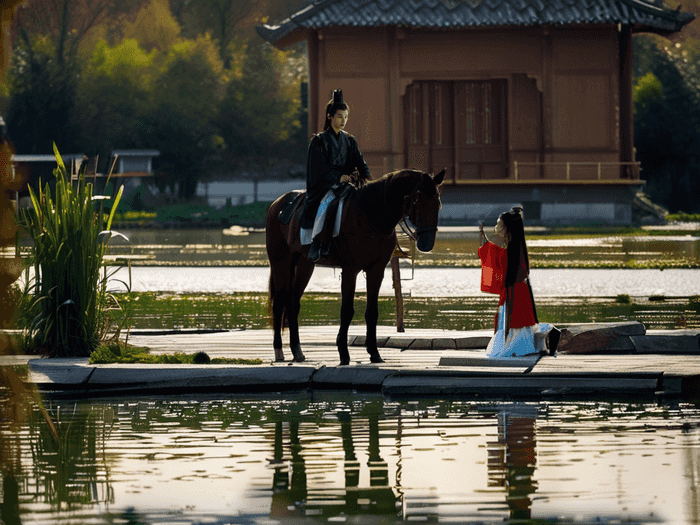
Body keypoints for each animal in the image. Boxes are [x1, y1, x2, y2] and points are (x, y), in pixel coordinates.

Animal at [266, 168, 446, 364]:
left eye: (438, 202)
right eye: (419, 200)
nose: (427, 243)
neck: (371, 215)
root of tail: (276, 203)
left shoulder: (376, 270)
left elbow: (372, 312)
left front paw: (374, 352)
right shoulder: (350, 270)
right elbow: (347, 310)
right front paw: (343, 354)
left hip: (304, 265)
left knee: (293, 303)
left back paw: (297, 350)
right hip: (281, 262)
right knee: (279, 303)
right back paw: (278, 351)